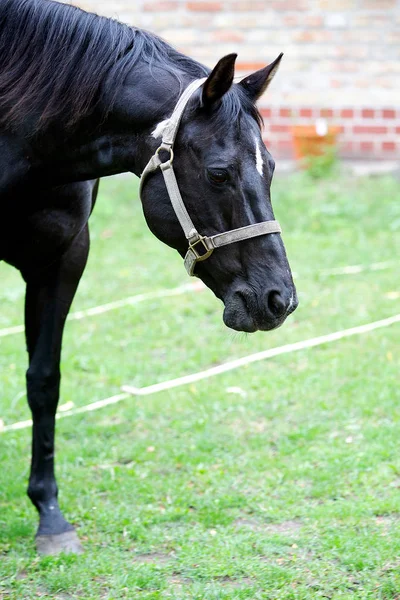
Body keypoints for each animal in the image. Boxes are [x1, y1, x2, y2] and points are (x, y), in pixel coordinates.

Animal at [0, 0, 296, 556]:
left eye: (269, 168)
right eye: (219, 173)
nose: (279, 299)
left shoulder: (62, 258)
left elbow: (44, 381)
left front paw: (50, 517)